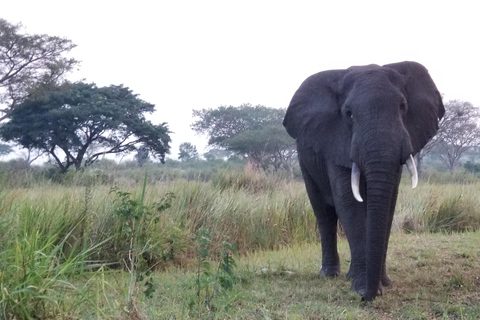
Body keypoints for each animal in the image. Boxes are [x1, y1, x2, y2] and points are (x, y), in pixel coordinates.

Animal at [284, 61, 444, 302]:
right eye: (348, 114)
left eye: (402, 106)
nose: (366, 297)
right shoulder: (336, 141)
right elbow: (349, 203)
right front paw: (362, 288)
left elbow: (388, 204)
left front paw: (383, 284)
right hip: (305, 161)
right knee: (324, 213)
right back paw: (329, 274)